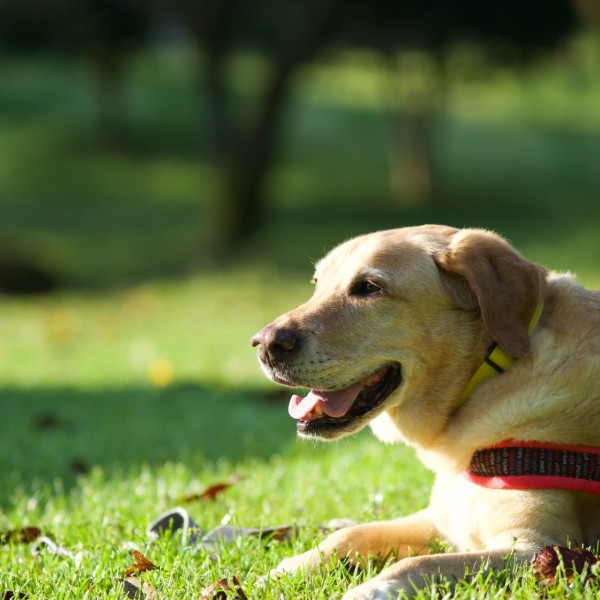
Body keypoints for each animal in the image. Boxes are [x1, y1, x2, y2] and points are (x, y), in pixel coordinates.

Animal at [250, 226, 600, 600]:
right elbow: (352, 533)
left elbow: (419, 563)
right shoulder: (438, 520)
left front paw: (368, 589)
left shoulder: (539, 550)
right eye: (317, 283)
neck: (482, 382)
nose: (264, 344)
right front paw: (287, 570)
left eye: (369, 287)